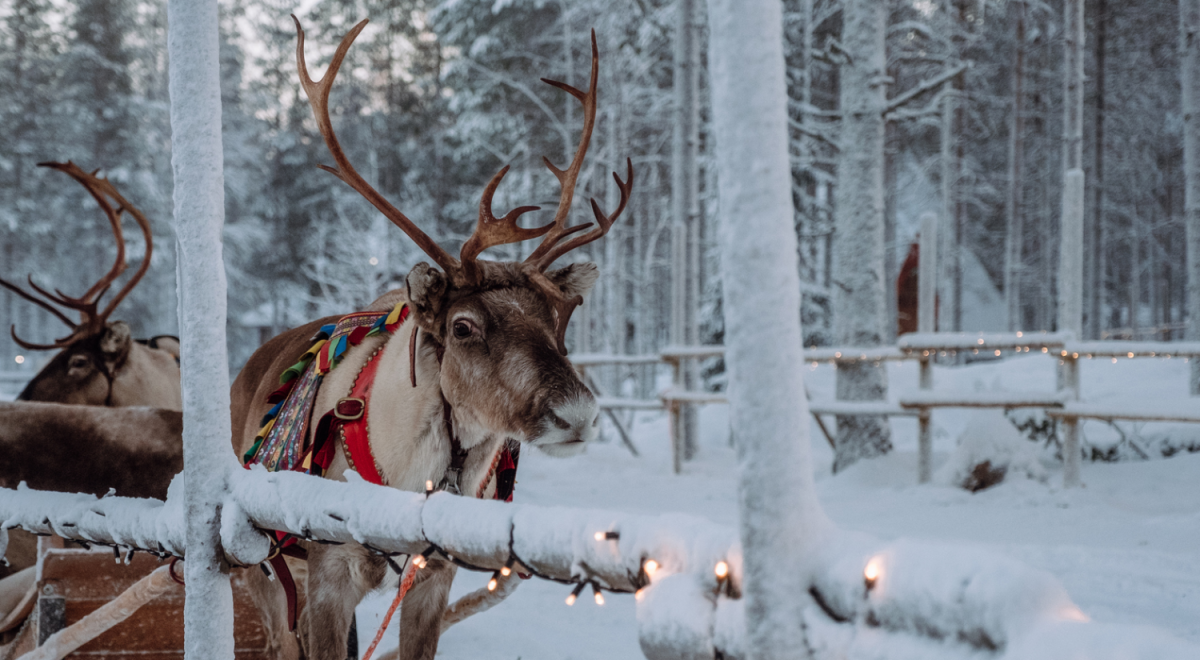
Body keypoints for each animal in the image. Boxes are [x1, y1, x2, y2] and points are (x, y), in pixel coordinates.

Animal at [228, 17, 632, 660]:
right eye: (463, 327)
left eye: (560, 317)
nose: (578, 415)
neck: (411, 480)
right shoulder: (328, 575)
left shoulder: (434, 574)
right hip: (265, 566)